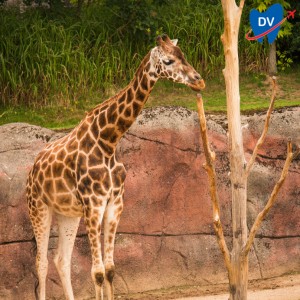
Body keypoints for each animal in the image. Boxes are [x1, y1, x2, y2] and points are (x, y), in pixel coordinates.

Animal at [26, 33, 206, 300]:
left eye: (183, 55)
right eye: (168, 60)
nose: (199, 81)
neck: (109, 141)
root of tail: (31, 171)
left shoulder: (114, 203)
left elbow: (110, 270)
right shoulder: (93, 205)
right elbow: (97, 272)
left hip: (67, 214)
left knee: (62, 260)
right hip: (39, 208)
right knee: (41, 262)